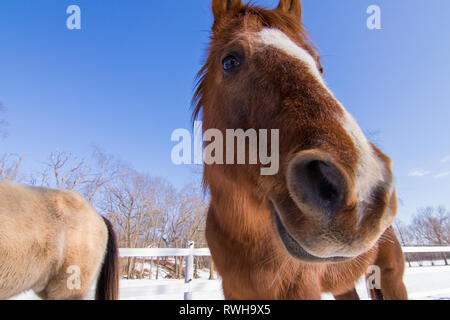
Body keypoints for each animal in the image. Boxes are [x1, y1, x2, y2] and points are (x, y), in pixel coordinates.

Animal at [193, 0, 408, 300]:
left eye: (320, 67)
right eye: (229, 61)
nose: (364, 189)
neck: (246, 239)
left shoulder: (301, 289)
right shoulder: (233, 291)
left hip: (391, 277)